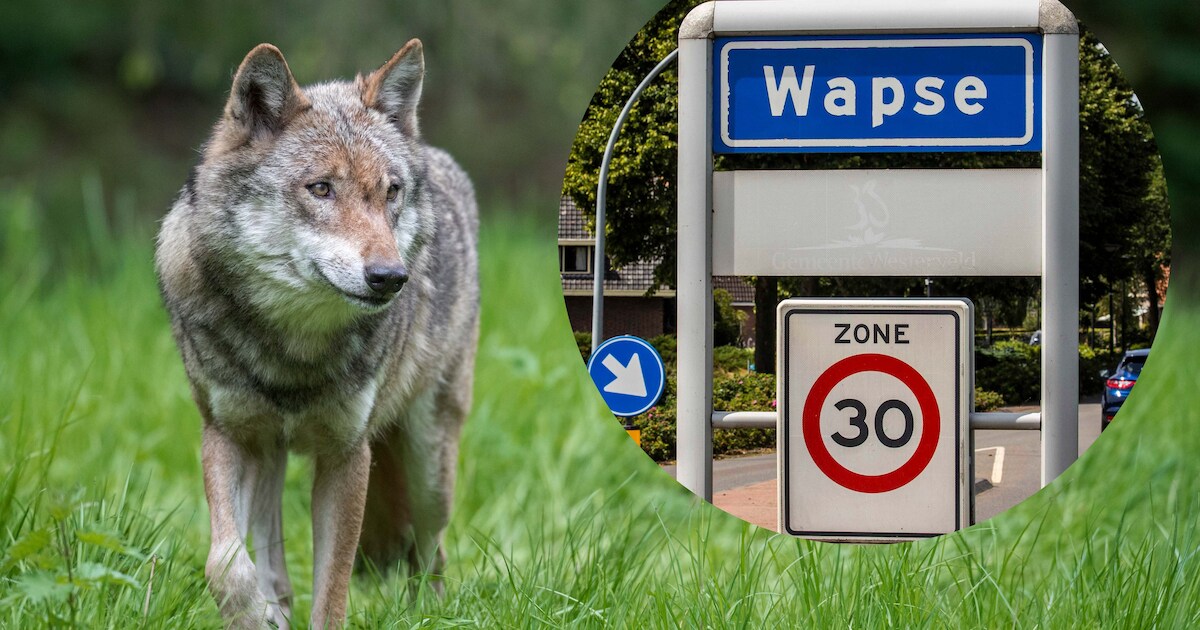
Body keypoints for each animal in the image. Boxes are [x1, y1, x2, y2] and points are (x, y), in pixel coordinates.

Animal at [155, 40, 479, 629]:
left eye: (391, 192)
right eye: (321, 189)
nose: (390, 277)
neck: (292, 349)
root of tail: (438, 157)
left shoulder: (348, 456)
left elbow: (332, 592)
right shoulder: (225, 434)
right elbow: (225, 561)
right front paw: (252, 614)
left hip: (429, 473)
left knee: (431, 552)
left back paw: (428, 613)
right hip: (270, 452)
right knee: (272, 554)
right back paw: (274, 606)